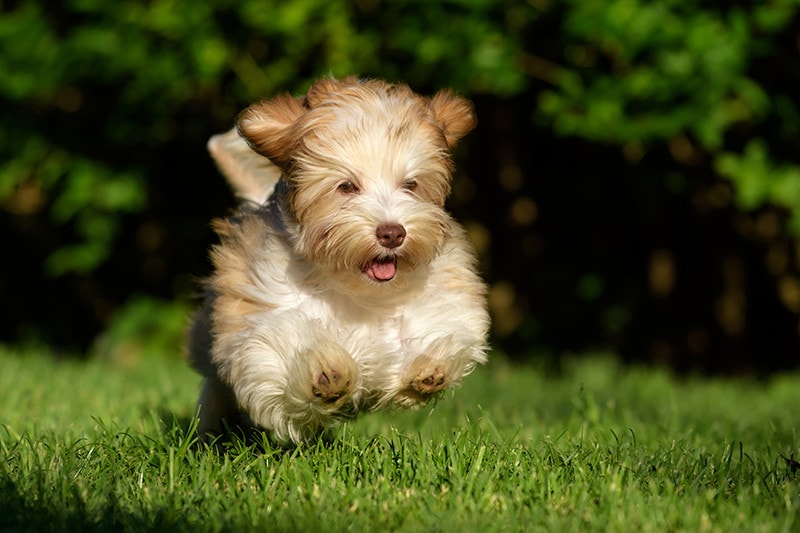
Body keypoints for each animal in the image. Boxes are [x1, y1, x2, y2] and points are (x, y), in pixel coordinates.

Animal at [188, 74, 488, 440]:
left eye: (411, 184)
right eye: (346, 186)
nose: (392, 233)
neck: (358, 290)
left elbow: (435, 327)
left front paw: (427, 369)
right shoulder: (264, 312)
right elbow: (281, 345)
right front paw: (326, 373)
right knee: (216, 391)